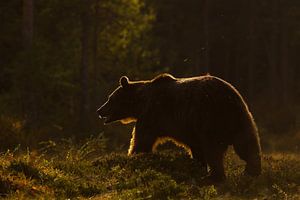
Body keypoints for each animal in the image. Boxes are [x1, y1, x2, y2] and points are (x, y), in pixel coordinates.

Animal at [97, 73, 262, 181]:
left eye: (110, 98)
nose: (99, 110)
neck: (140, 103)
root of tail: (228, 97)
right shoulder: (189, 129)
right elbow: (196, 149)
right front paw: (197, 168)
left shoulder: (152, 116)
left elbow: (142, 142)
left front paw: (133, 158)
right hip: (240, 118)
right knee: (247, 145)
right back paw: (252, 172)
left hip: (210, 117)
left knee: (214, 149)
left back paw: (215, 177)